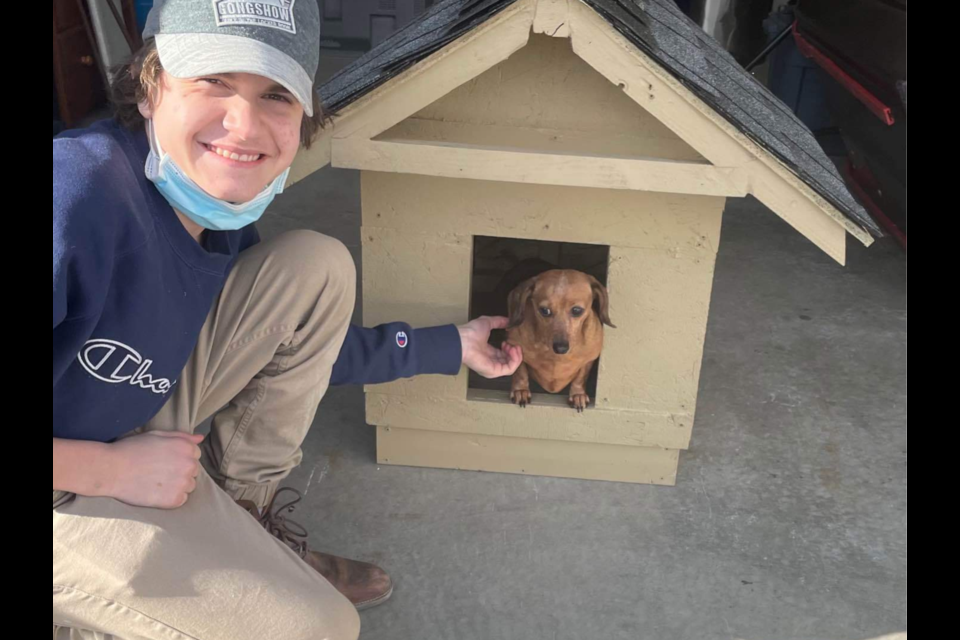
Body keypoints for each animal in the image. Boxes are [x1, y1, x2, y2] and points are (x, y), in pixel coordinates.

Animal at [502, 268, 616, 410]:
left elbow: (581, 377)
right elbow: (520, 372)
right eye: (544, 310)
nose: (560, 348)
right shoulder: (514, 346)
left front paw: (578, 395)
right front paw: (520, 391)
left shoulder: (590, 358)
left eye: (577, 310)